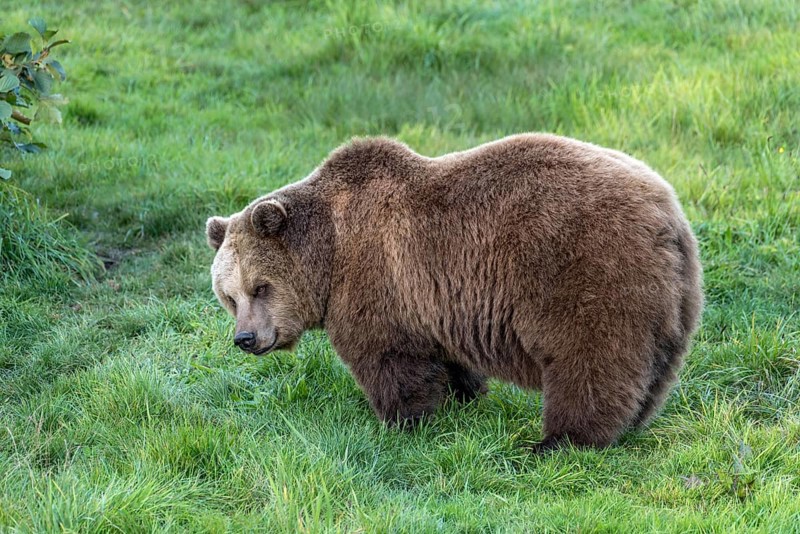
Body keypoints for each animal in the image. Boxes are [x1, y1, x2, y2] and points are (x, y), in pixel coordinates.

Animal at [206, 133, 703, 450]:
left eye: (260, 287)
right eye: (228, 296)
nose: (246, 338)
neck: (330, 251)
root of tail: (666, 212)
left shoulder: (378, 277)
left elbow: (390, 359)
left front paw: (403, 422)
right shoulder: (436, 300)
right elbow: (450, 359)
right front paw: (464, 398)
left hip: (585, 271)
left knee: (590, 360)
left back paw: (559, 441)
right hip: (672, 297)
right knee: (654, 366)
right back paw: (632, 423)